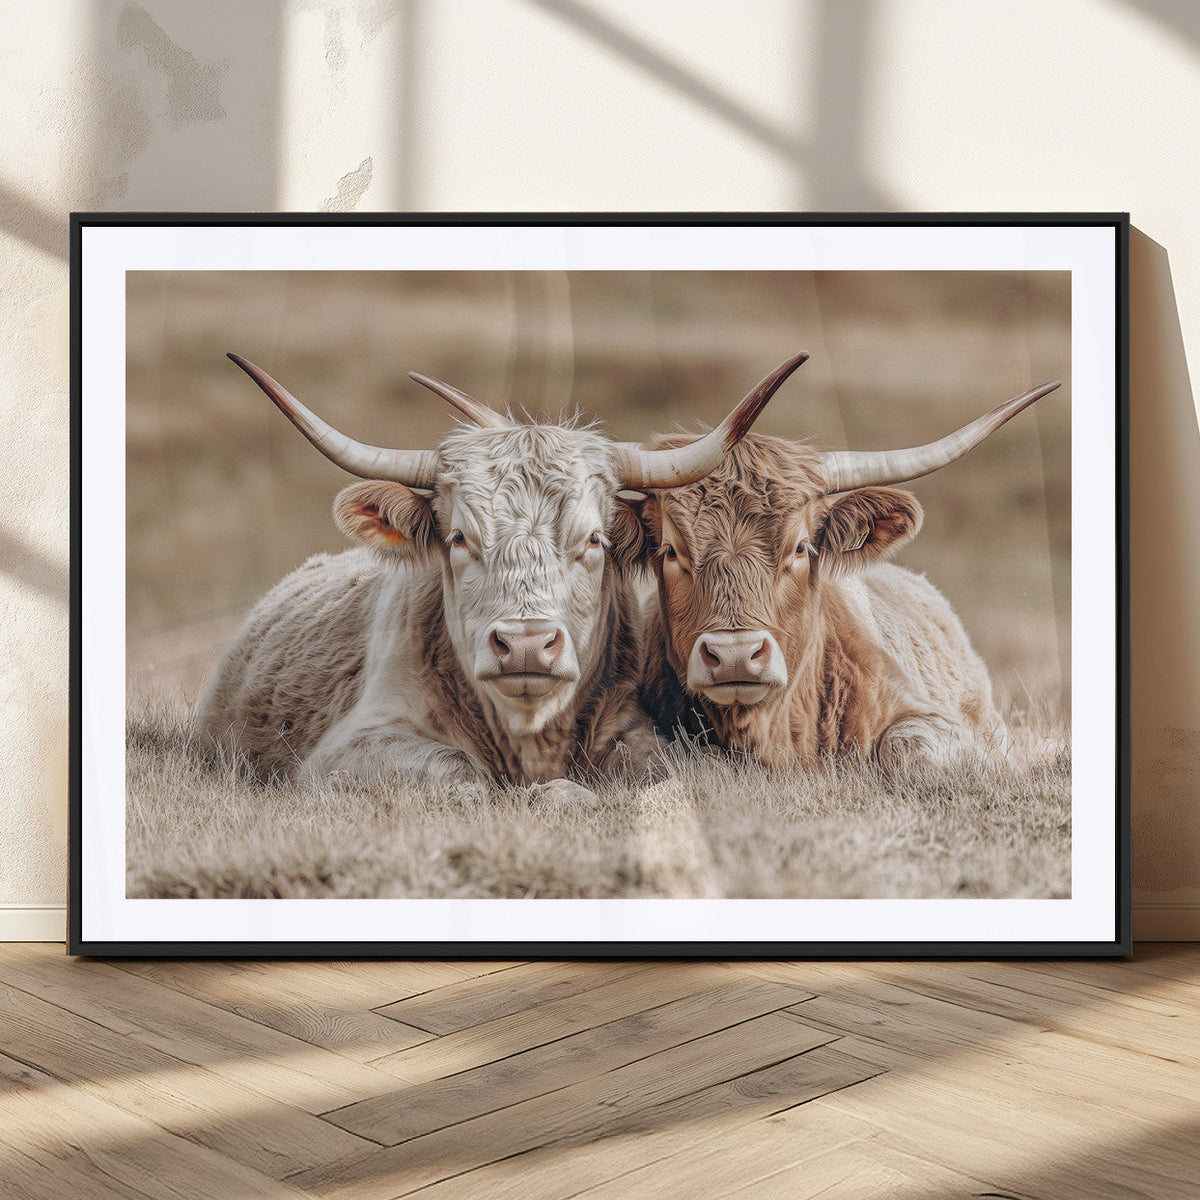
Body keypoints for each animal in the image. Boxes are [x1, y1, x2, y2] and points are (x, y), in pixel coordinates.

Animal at [195, 351, 807, 792]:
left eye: (594, 539)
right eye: (459, 538)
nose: (527, 646)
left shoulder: (638, 731)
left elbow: (678, 769)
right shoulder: (352, 747)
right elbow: (461, 774)